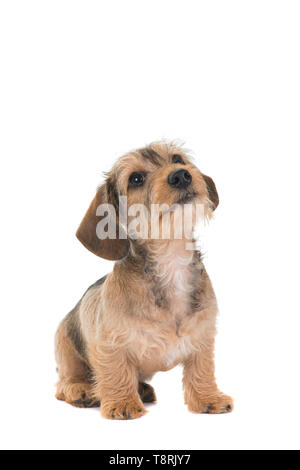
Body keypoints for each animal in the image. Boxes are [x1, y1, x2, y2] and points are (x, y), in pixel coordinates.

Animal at [55, 141, 233, 420]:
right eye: (136, 179)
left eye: (177, 158)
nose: (181, 175)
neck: (171, 261)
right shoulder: (109, 345)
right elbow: (116, 371)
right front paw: (122, 403)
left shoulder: (202, 336)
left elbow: (202, 369)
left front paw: (208, 398)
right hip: (66, 348)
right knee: (64, 383)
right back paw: (82, 391)